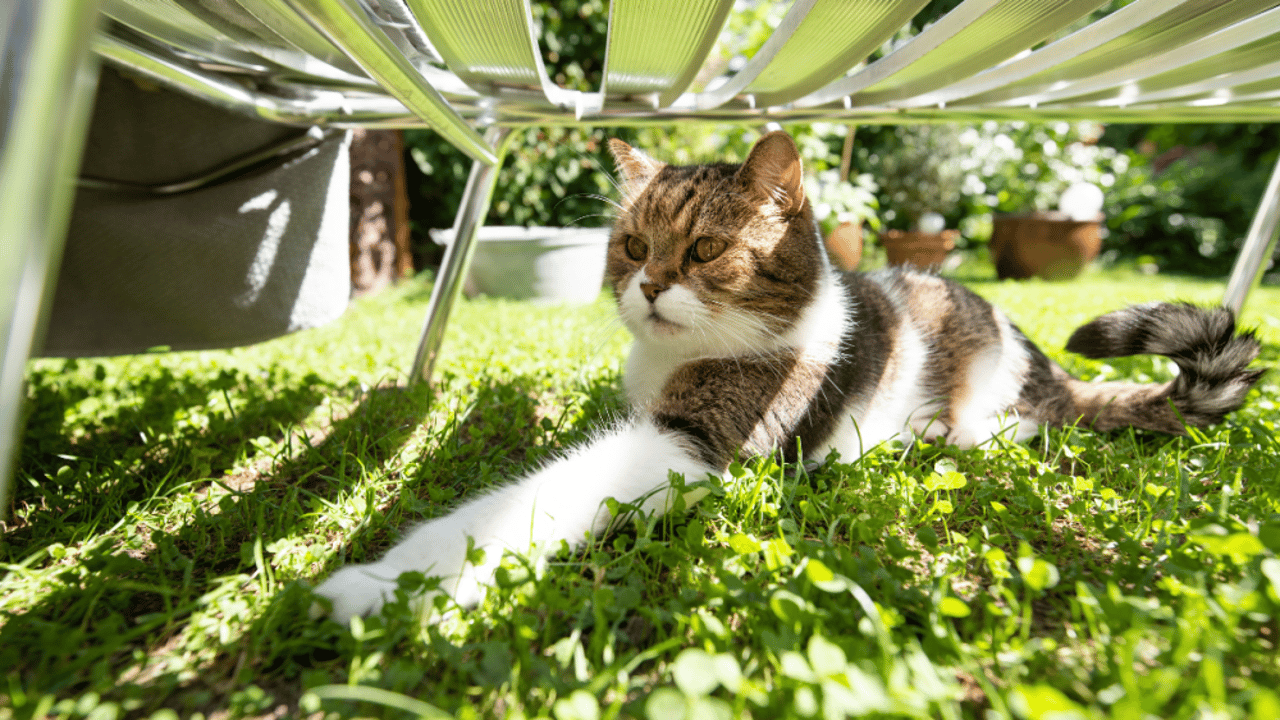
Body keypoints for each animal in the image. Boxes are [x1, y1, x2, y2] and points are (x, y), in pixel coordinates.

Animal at [314, 130, 1264, 622]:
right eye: (632, 246)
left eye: (705, 250)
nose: (649, 286)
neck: (677, 357)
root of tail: (1046, 367)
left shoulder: (690, 440)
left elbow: (529, 501)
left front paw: (386, 585)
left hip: (984, 405)